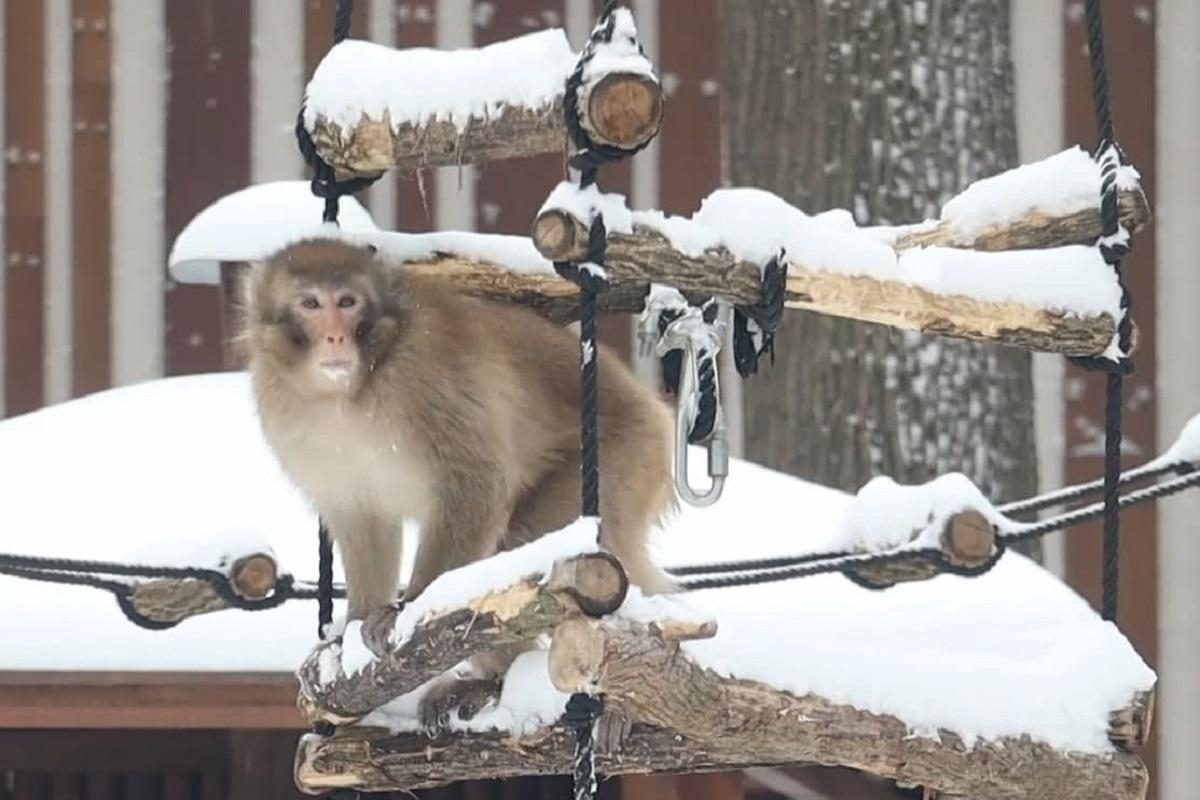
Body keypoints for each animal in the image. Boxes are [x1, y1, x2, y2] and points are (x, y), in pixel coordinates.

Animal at [243, 235, 676, 729]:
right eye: (311, 304)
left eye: (347, 302)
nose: (334, 336)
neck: (348, 391)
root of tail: (654, 411)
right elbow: (362, 519)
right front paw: (350, 628)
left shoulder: (420, 375)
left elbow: (476, 485)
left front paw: (406, 607)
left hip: (624, 458)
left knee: (516, 545)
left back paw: (503, 682)